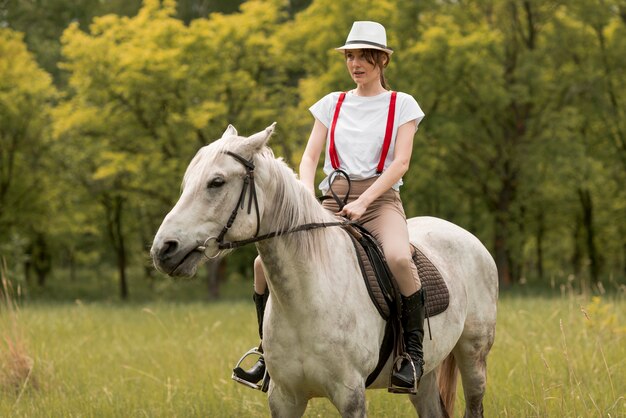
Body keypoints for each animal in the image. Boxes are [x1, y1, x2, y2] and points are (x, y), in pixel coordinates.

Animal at [149, 124, 494, 418]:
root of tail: (466, 236)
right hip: (426, 377)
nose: (163, 250)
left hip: (473, 358)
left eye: (216, 182)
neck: (305, 300)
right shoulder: (284, 398)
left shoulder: (351, 396)